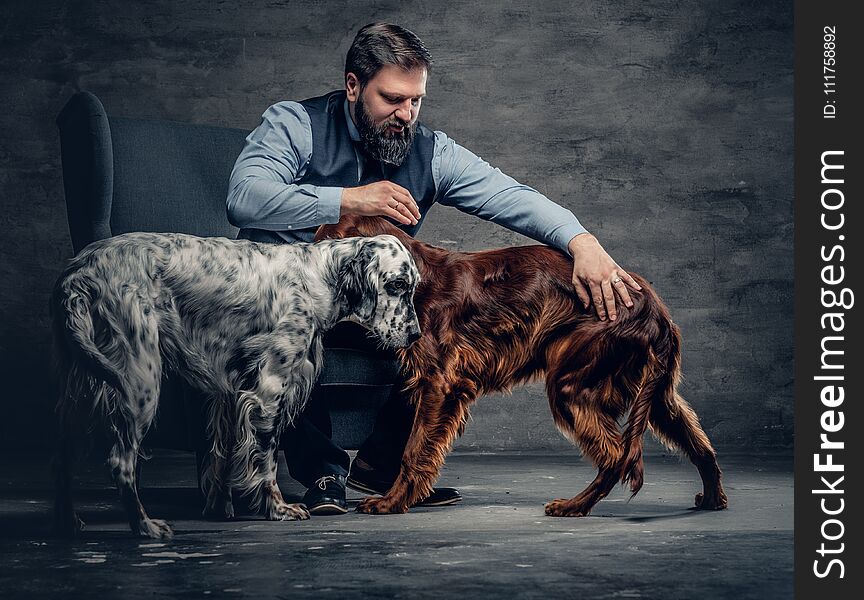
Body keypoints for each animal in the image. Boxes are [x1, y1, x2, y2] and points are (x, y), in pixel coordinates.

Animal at [50, 233, 422, 540]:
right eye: (397, 285)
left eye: (413, 286)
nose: (416, 335)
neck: (316, 277)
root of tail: (78, 274)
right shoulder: (268, 389)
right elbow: (266, 460)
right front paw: (277, 509)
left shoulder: (229, 392)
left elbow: (222, 457)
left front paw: (219, 508)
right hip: (140, 377)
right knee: (120, 462)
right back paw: (145, 527)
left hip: (86, 385)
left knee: (64, 454)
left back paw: (70, 523)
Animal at [314, 216, 724, 516]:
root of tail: (654, 308)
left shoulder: (441, 382)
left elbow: (415, 451)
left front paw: (391, 503)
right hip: (655, 392)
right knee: (699, 445)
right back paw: (712, 499)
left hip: (572, 383)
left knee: (617, 456)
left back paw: (574, 506)